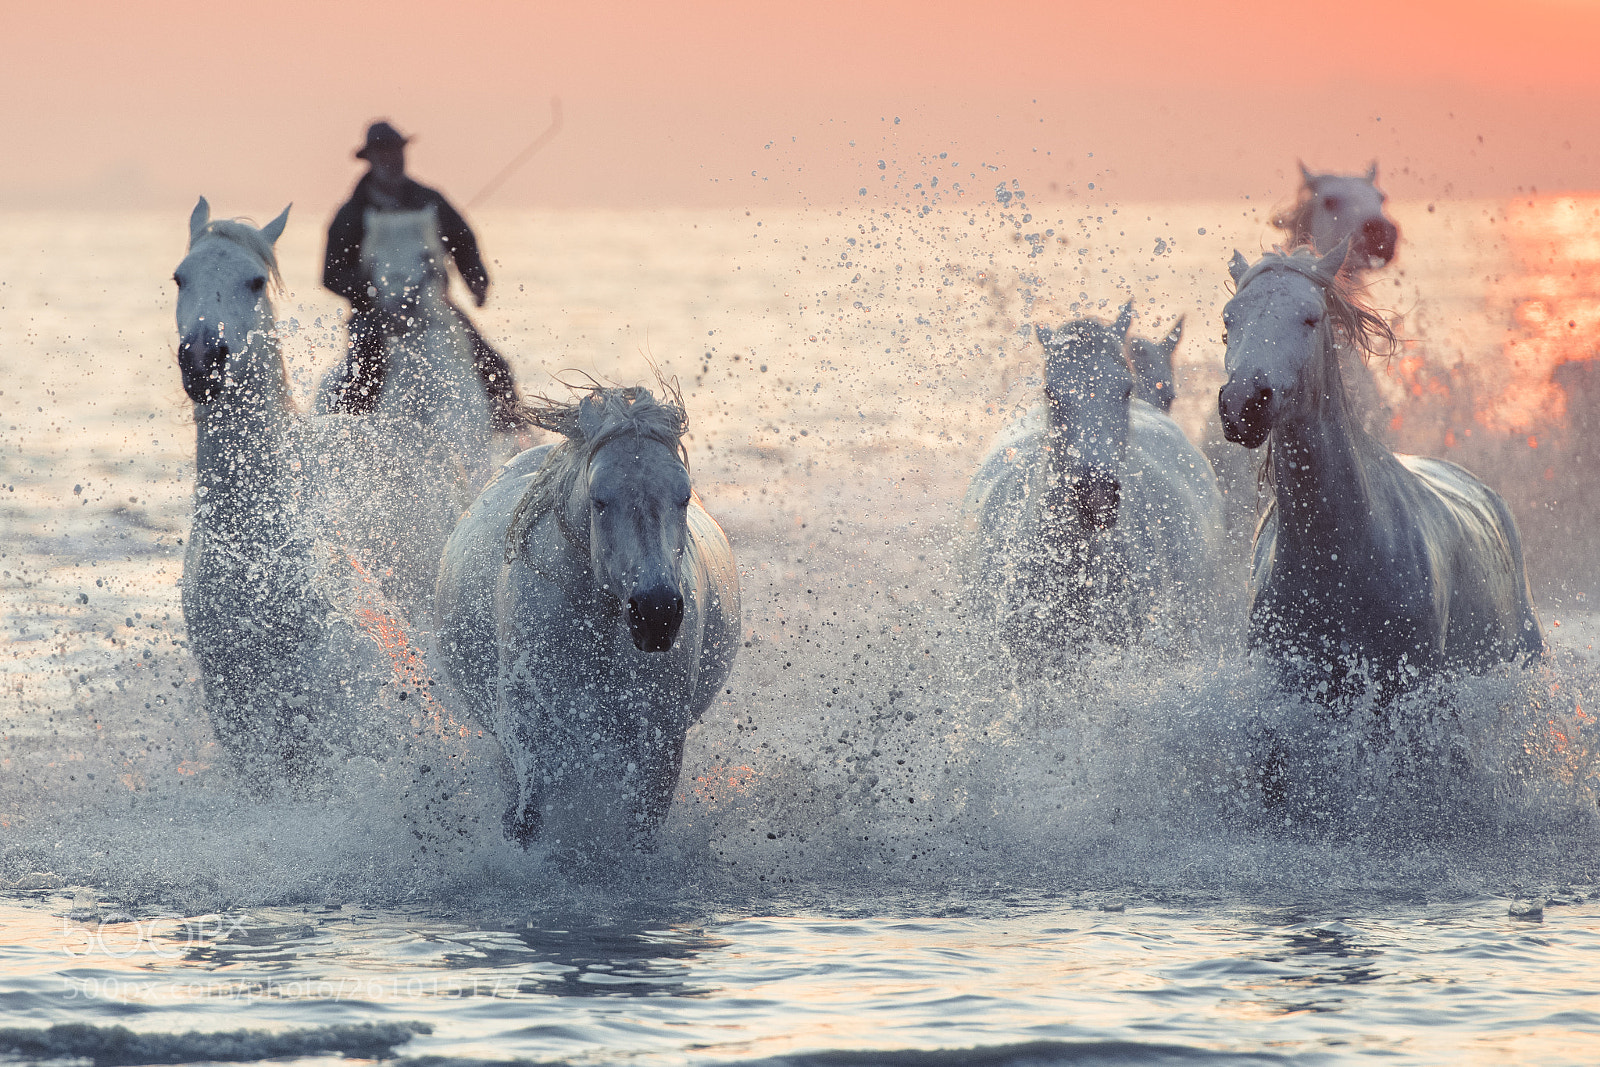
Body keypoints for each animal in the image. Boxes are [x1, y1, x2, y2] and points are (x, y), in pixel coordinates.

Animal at [434, 385, 741, 849]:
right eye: (599, 500)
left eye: (684, 495)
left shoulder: (659, 743)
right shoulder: (525, 738)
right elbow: (524, 821)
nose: (656, 614)